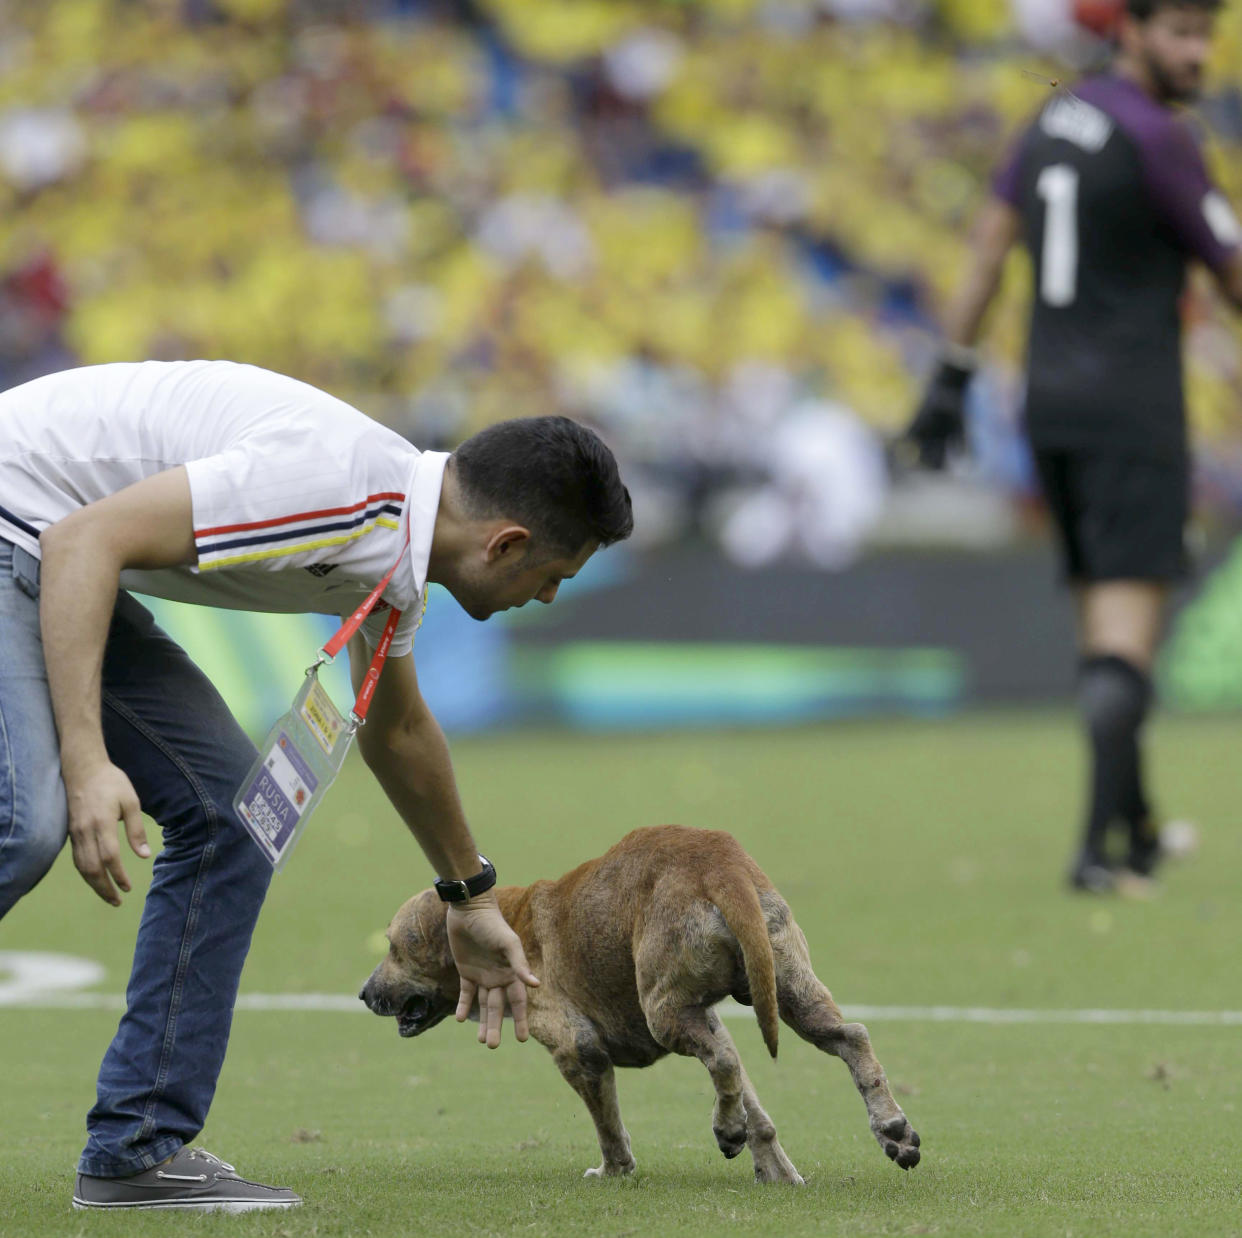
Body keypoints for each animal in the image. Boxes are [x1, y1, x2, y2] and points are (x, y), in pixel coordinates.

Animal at [360, 819, 924, 1177]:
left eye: (394, 946)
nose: (364, 993)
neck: (508, 921)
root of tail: (720, 864)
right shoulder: (709, 1017)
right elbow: (753, 1101)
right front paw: (773, 1165)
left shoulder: (578, 1052)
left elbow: (609, 1124)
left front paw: (615, 1169)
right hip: (788, 990)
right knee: (849, 1038)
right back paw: (891, 1126)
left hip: (664, 1013)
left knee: (722, 1062)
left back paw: (725, 1129)